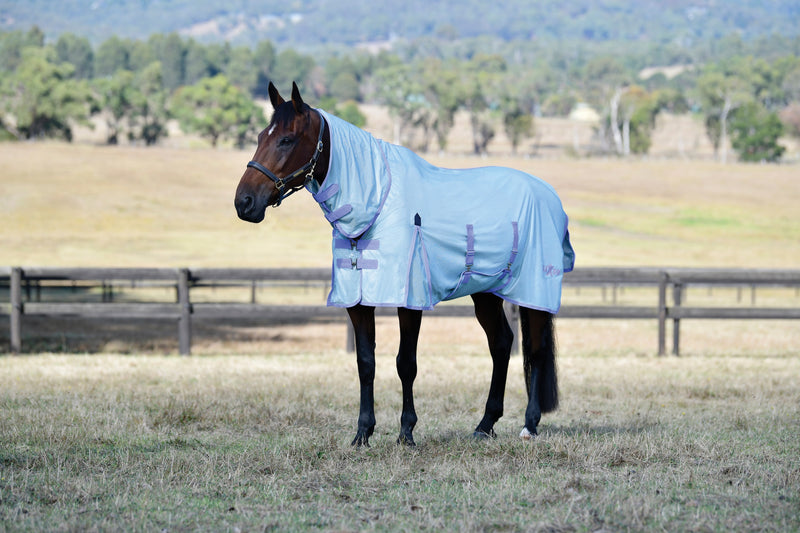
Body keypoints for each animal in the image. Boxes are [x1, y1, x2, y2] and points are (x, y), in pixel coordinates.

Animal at [235, 82, 575, 447]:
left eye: (286, 139)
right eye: (260, 136)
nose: (244, 202)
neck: (378, 201)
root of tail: (548, 196)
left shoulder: (408, 299)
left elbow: (405, 363)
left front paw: (406, 433)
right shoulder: (357, 301)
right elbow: (365, 363)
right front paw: (362, 434)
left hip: (533, 292)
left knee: (536, 349)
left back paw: (529, 425)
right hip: (485, 292)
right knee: (501, 345)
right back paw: (485, 425)